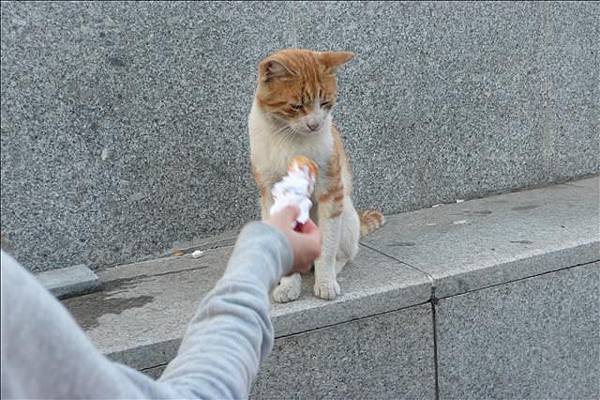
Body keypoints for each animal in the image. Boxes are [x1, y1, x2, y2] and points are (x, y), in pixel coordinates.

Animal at [248, 48, 384, 302]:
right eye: (297, 106)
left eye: (326, 102)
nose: (315, 124)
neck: (289, 139)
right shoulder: (272, 194)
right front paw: (288, 286)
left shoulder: (330, 191)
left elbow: (327, 248)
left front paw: (326, 282)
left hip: (346, 214)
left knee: (345, 253)